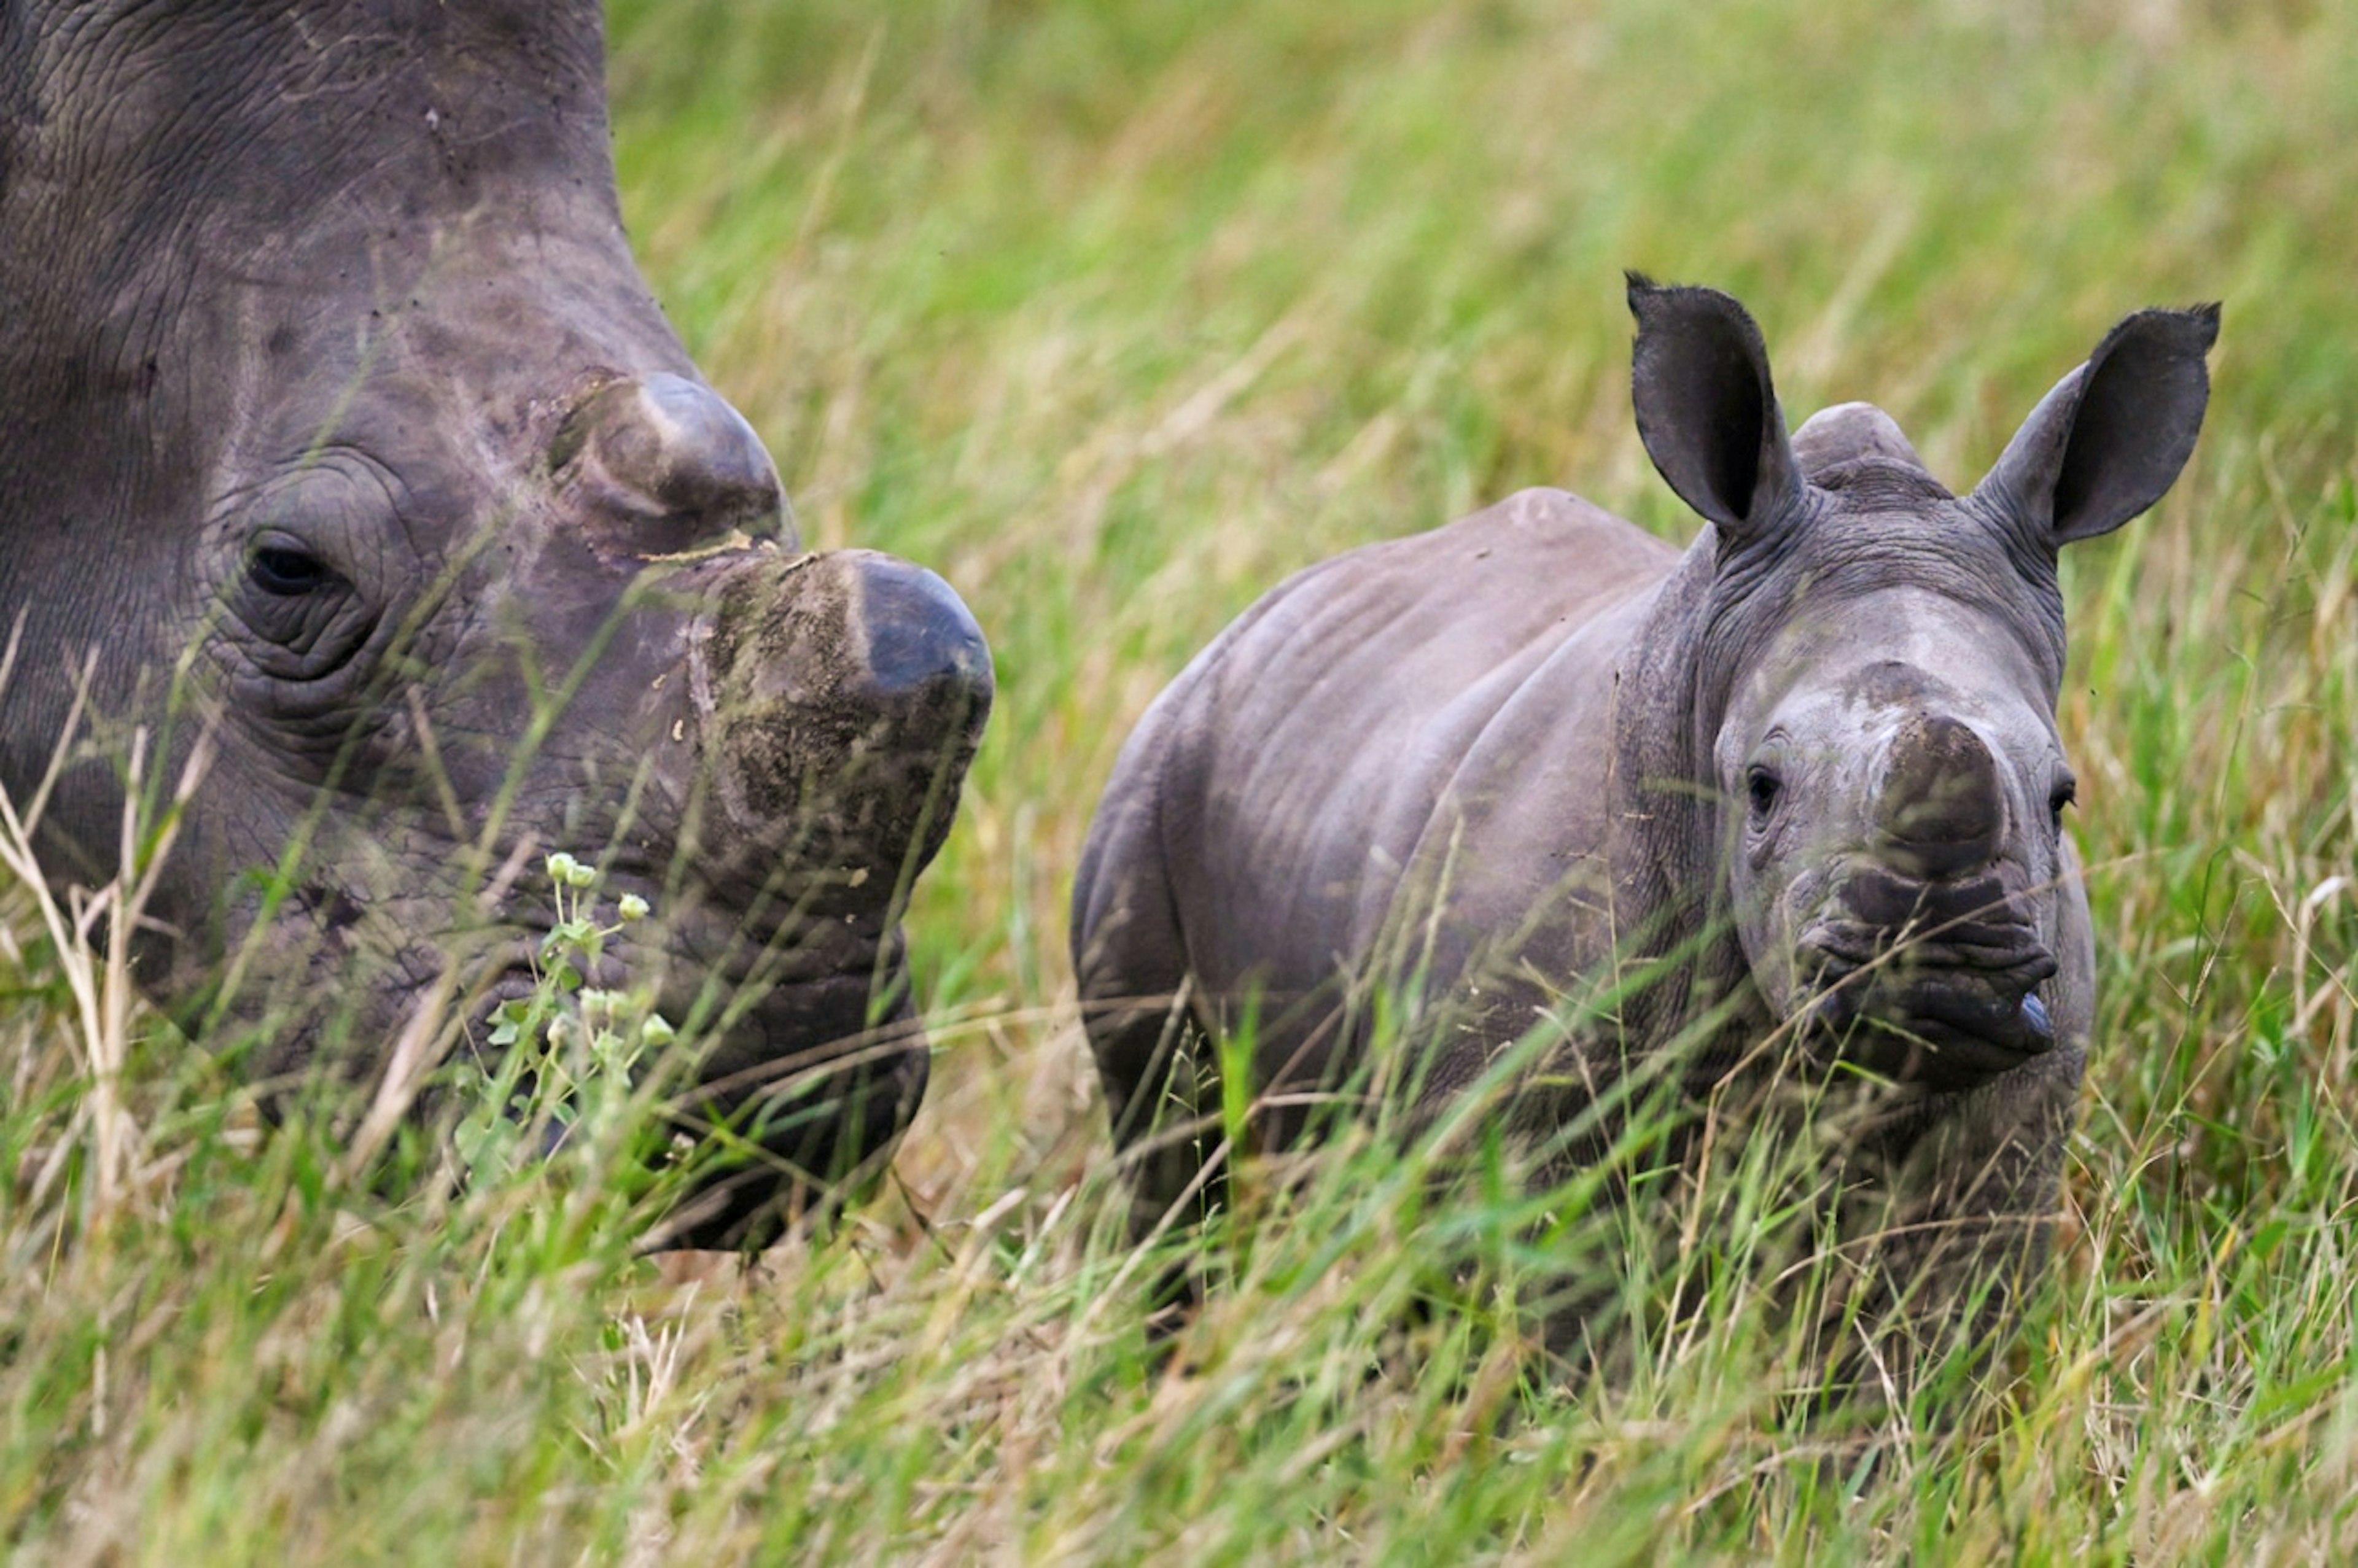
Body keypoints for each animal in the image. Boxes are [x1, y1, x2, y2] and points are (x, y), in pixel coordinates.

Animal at [1080, 274, 2216, 1376]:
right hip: (1159, 769)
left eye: (2063, 796)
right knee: (1173, 1155)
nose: (1944, 977)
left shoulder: (2016, 1124)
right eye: (1760, 786)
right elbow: (1557, 1318)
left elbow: (1935, 1341)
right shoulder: (1512, 1104)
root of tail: (1259, 612)